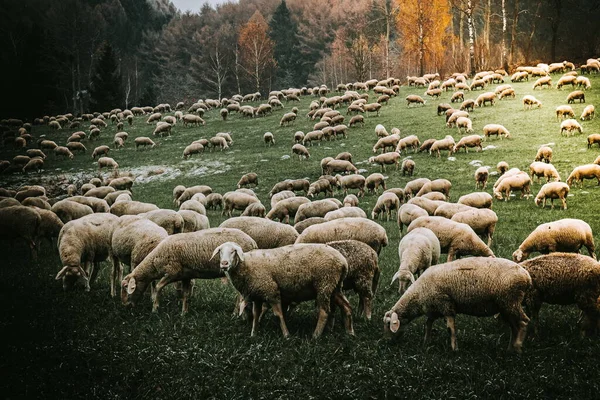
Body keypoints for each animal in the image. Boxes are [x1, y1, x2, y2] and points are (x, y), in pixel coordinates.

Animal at [120, 227, 256, 314]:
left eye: (127, 287)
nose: (125, 306)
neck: (155, 259)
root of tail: (252, 242)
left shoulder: (172, 273)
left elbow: (158, 287)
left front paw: (155, 308)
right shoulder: (185, 275)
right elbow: (185, 294)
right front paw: (184, 313)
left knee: (239, 293)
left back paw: (235, 313)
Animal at [384, 258, 528, 352]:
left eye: (389, 324)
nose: (388, 342)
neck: (417, 296)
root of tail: (527, 277)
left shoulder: (446, 305)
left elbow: (450, 329)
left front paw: (454, 349)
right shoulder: (434, 309)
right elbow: (427, 324)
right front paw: (425, 343)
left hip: (511, 302)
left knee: (523, 323)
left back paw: (518, 348)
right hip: (506, 306)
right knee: (514, 327)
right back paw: (510, 349)